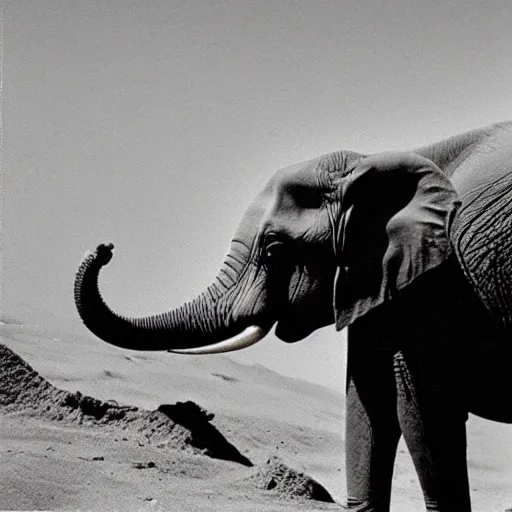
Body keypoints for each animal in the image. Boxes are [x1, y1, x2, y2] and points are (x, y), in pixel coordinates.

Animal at [75, 122, 512, 510]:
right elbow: (368, 395)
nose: (106, 247)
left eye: (274, 250)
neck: (370, 164)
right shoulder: (379, 276)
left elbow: (423, 404)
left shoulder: (435, 281)